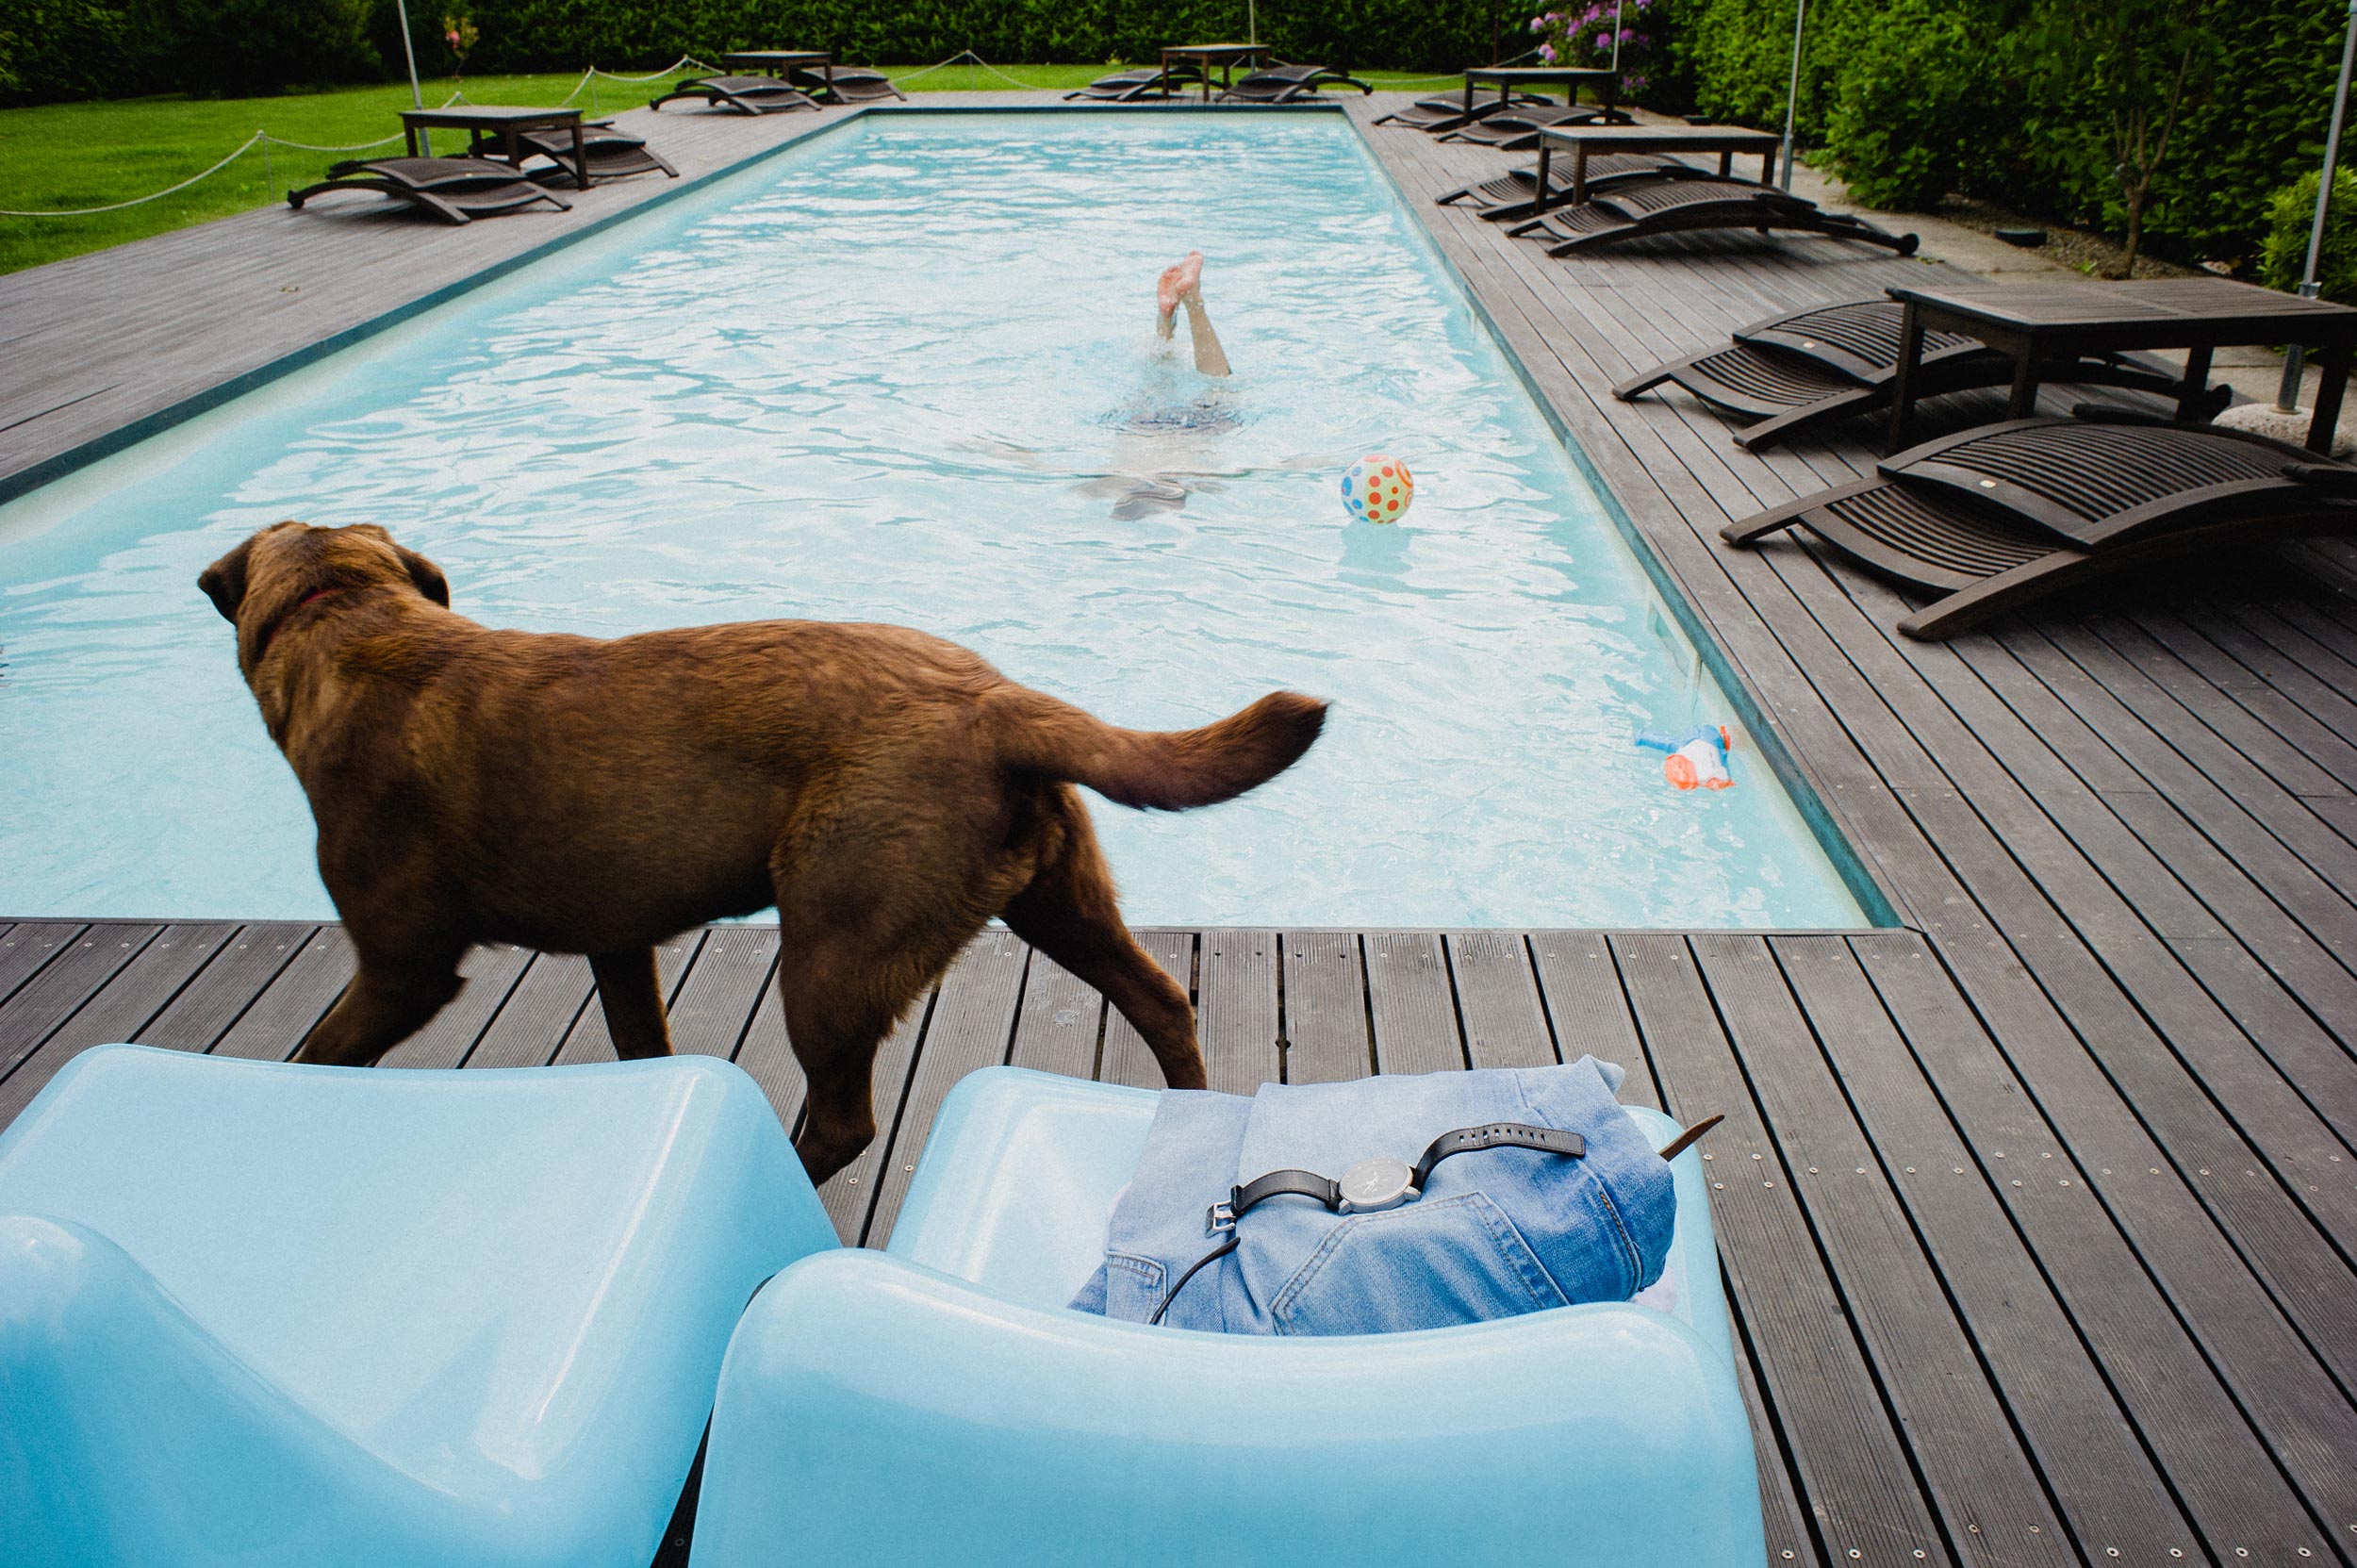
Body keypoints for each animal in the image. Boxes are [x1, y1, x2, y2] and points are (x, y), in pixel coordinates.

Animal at [203, 523, 1329, 1174]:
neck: (349, 623)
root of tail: (996, 697)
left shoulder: (401, 968)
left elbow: (320, 1054)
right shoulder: (620, 942)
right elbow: (640, 1045)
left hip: (832, 950)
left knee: (843, 1122)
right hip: (1059, 894)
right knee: (1162, 999)